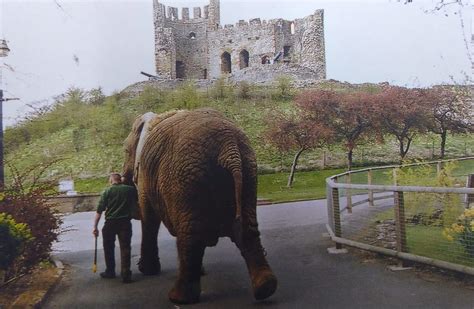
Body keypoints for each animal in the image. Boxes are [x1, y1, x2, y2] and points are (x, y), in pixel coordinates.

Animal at [122, 108, 278, 304]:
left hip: (186, 178)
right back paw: (266, 287)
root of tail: (229, 147)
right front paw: (201, 272)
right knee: (247, 228)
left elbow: (149, 218)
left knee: (191, 234)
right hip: (247, 171)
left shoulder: (145, 173)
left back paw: (178, 298)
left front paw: (147, 271)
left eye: (125, 151)